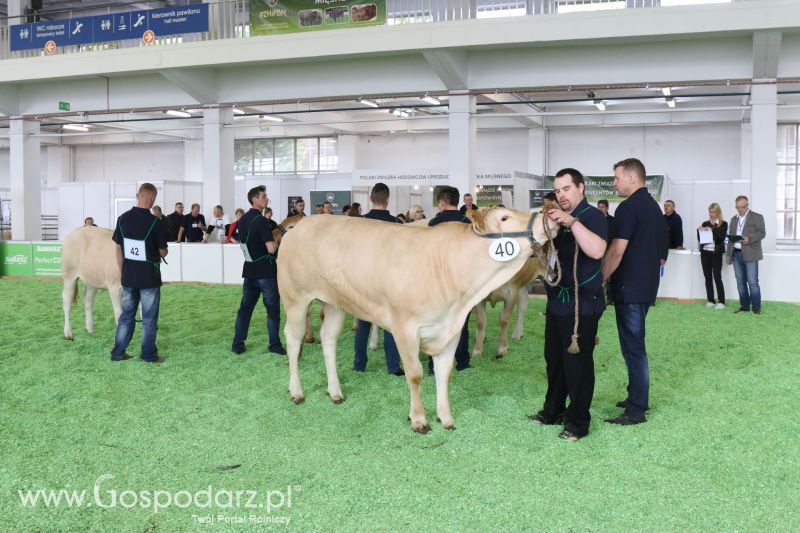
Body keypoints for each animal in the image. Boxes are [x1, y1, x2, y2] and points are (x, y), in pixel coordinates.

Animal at [278, 205, 552, 432]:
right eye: (504, 217)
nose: (546, 213)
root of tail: (299, 226)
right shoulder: (405, 329)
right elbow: (415, 374)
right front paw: (419, 419)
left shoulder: (451, 329)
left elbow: (444, 373)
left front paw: (446, 417)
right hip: (295, 298)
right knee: (292, 339)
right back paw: (296, 391)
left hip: (335, 303)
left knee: (328, 340)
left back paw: (335, 392)